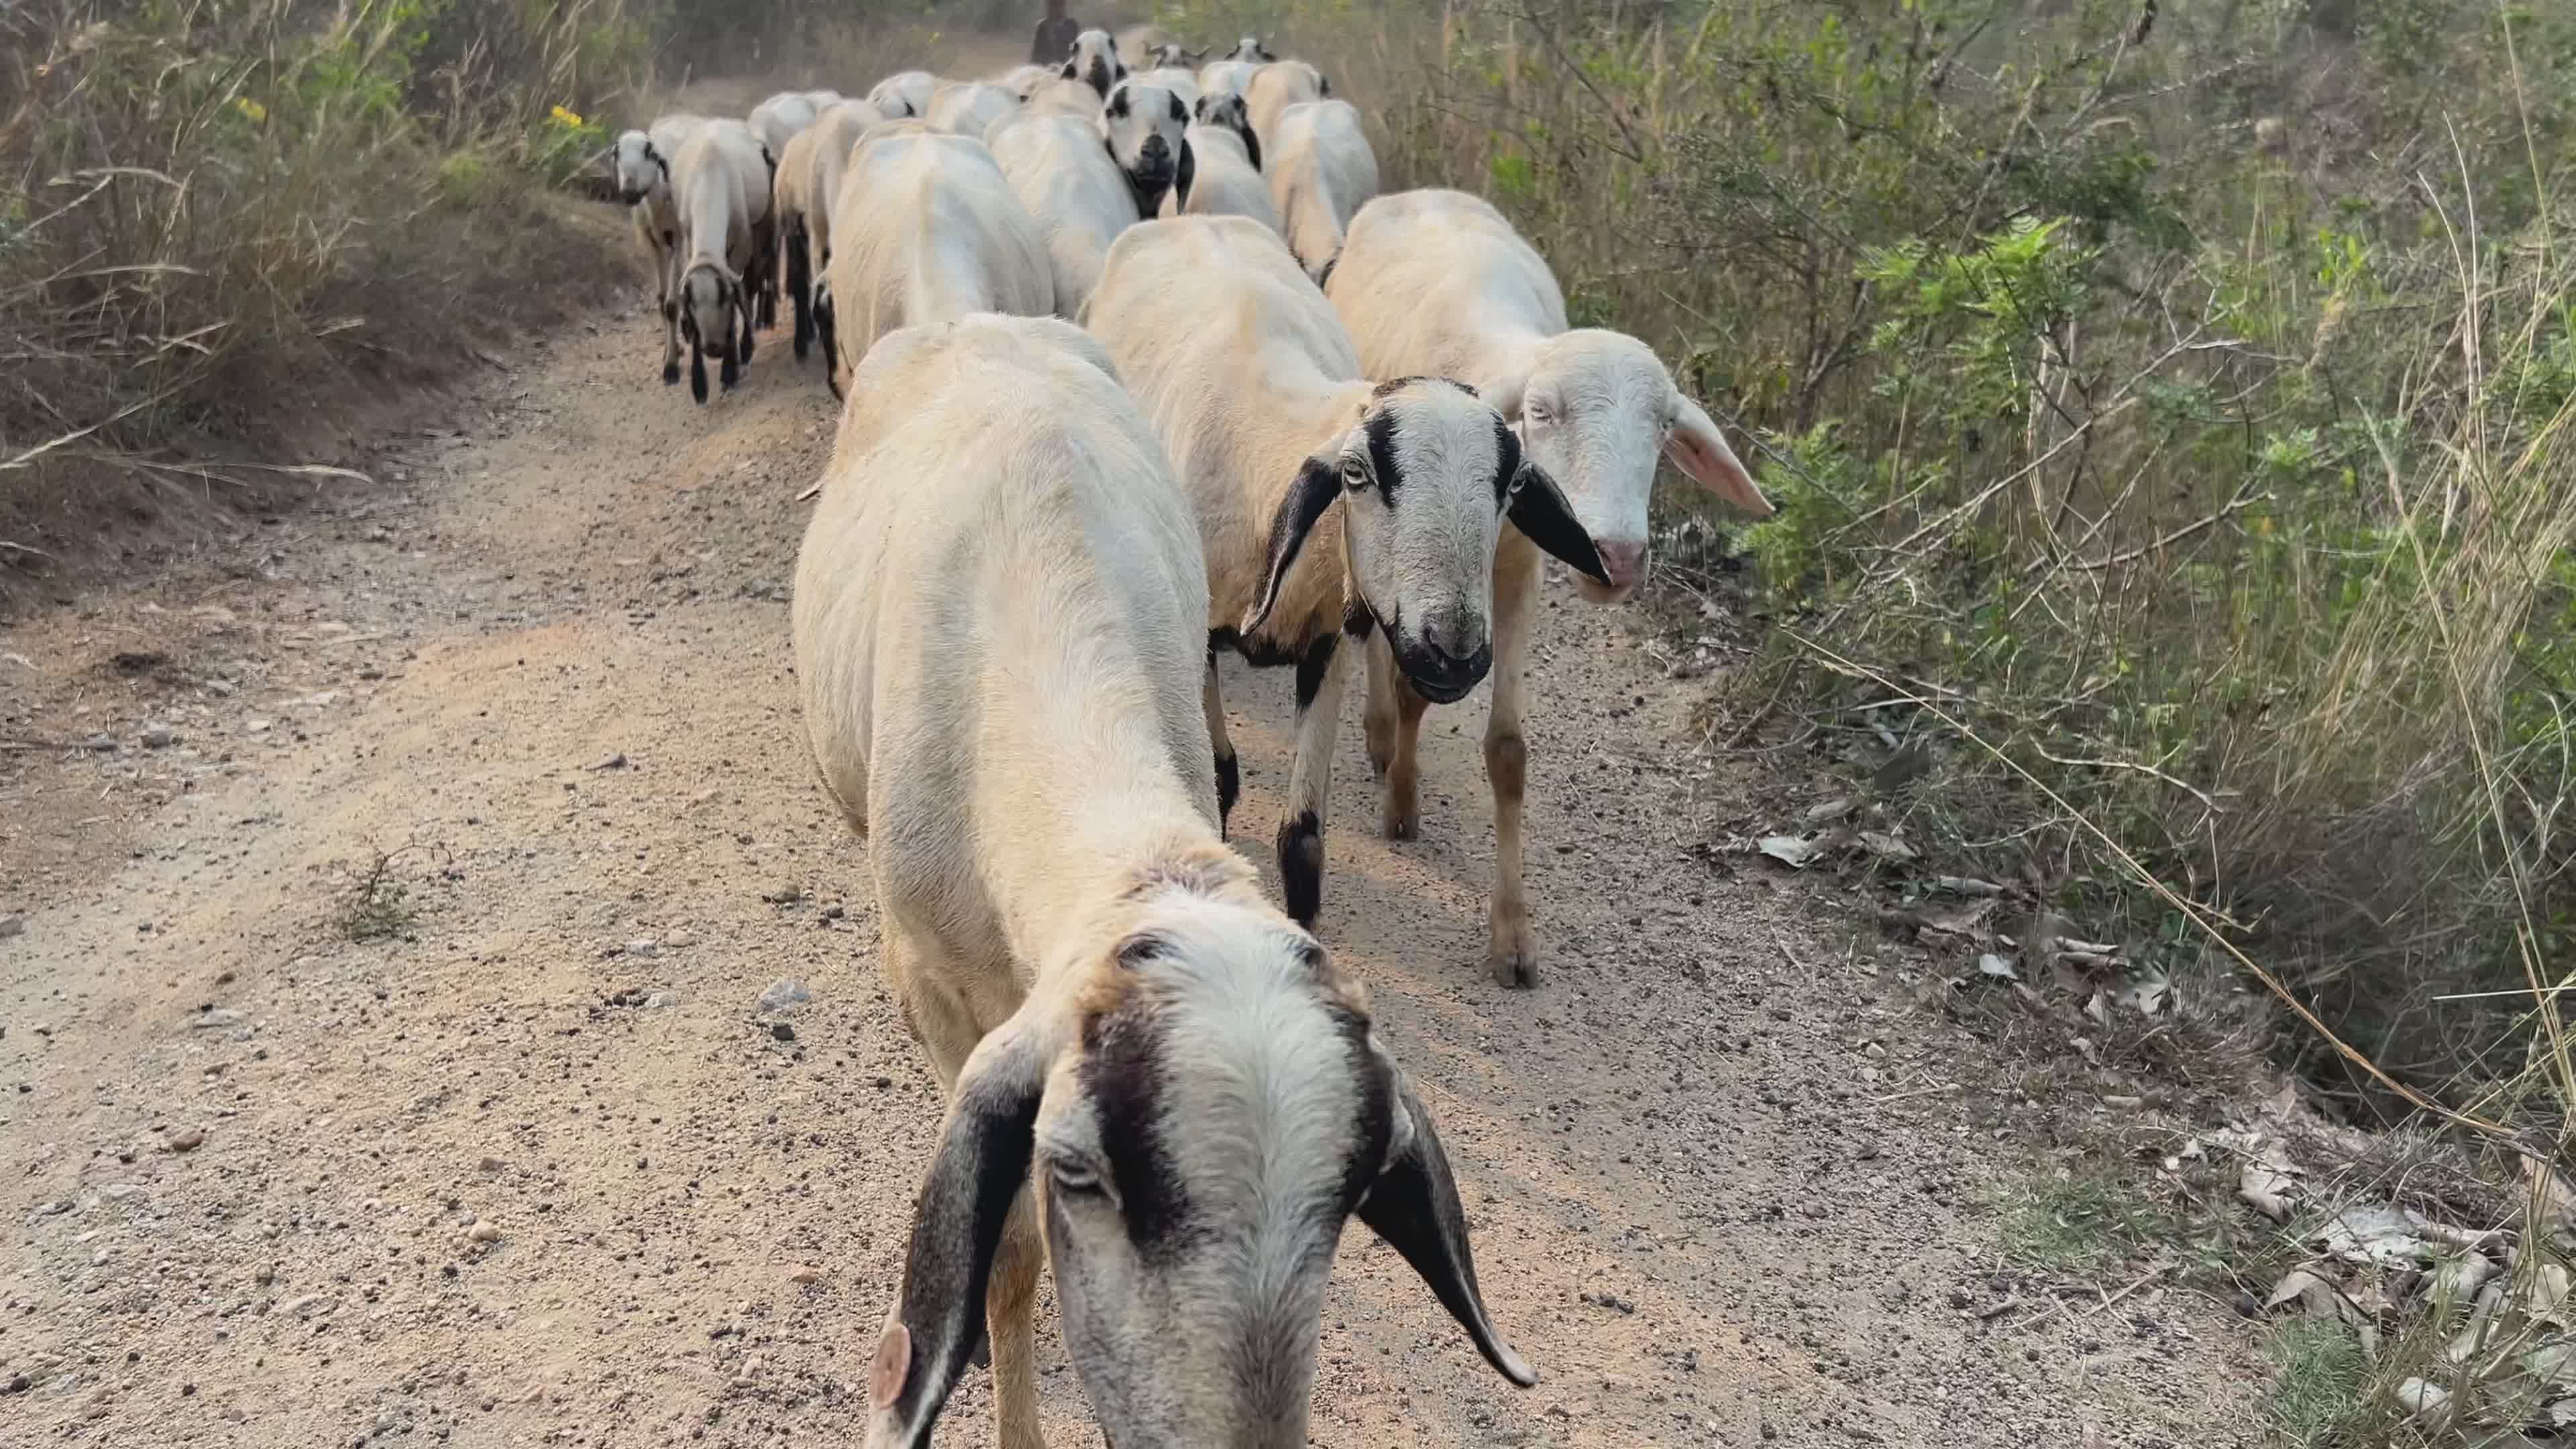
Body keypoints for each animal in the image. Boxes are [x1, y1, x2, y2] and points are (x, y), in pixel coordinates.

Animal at [665, 120, 775, 403]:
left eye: (725, 298)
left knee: (754, 282)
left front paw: (730, 369)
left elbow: (743, 293)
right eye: (692, 304)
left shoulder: (742, 243)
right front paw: (699, 385)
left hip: (760, 227)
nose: (714, 348)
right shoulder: (687, 245)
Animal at [1084, 216, 1609, 930]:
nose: (1454, 651)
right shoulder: (1200, 644)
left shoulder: (1325, 643)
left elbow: (1303, 844)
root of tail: (1193, 219)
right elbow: (1222, 778)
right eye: (1356, 474)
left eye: (1515, 483)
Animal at [1323, 188, 1774, 986]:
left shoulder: (1519, 576)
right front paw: (1401, 799)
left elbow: (1507, 751)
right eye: (1541, 411)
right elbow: (1411, 685)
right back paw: (1378, 736)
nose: (1617, 556)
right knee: (1372, 630)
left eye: (1663, 429)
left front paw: (1512, 938)